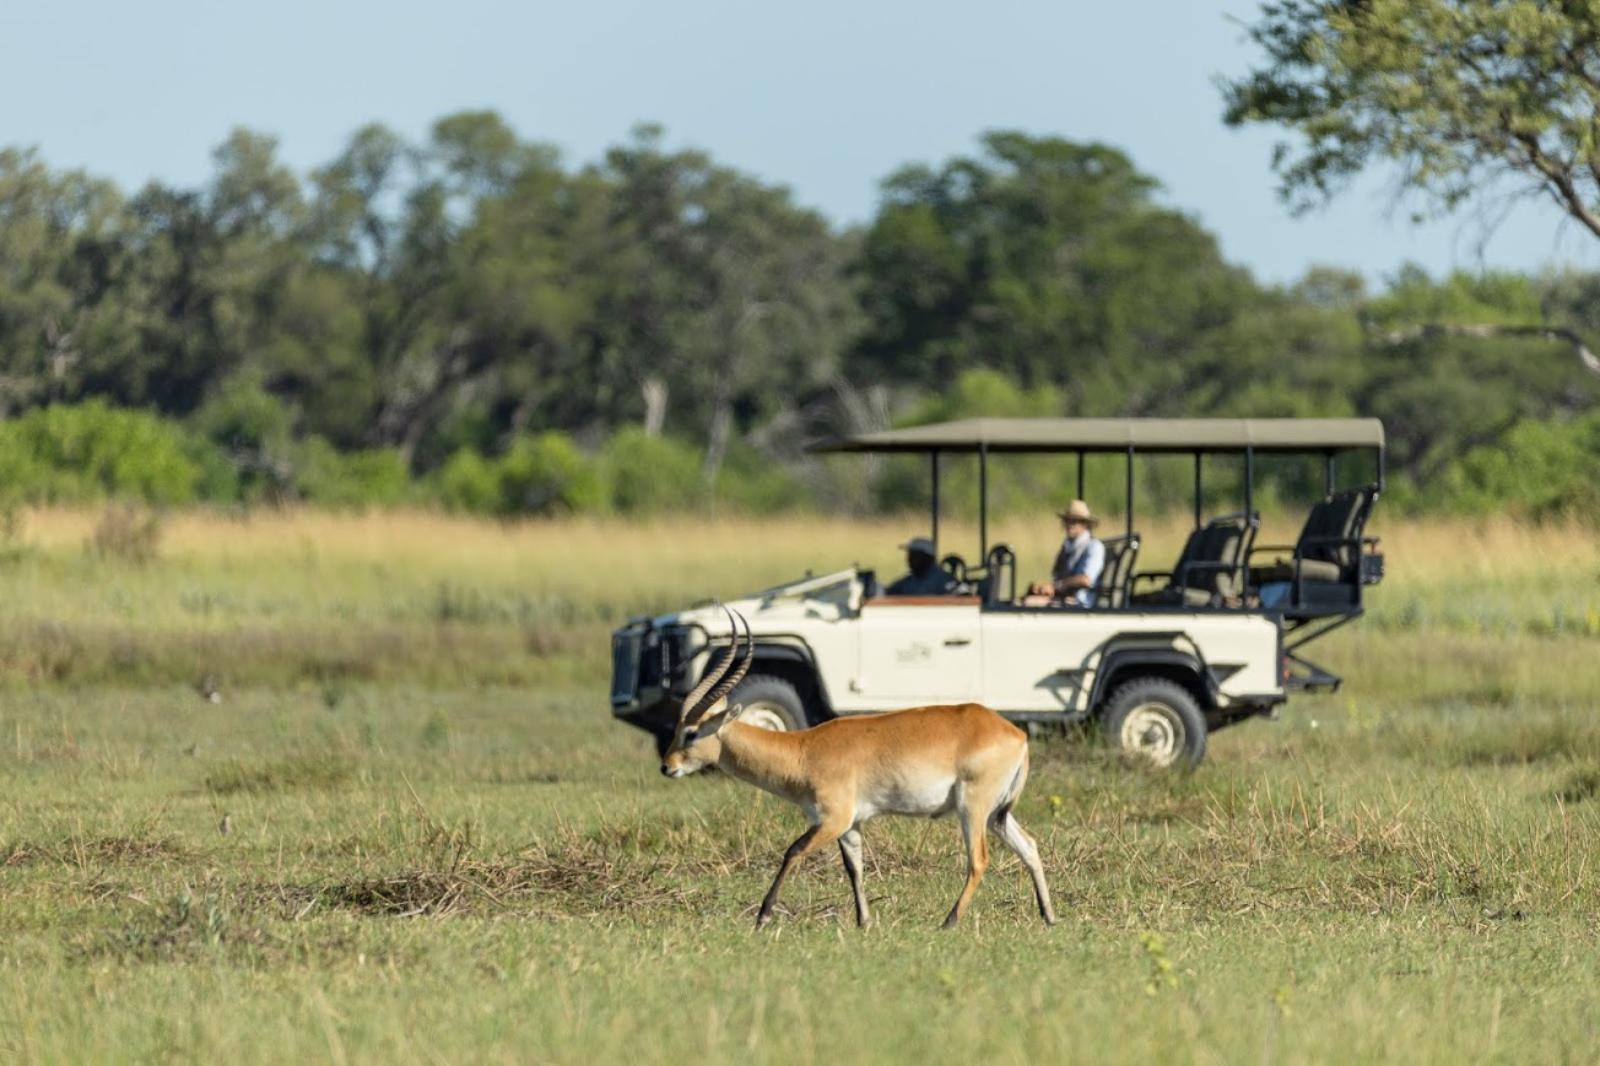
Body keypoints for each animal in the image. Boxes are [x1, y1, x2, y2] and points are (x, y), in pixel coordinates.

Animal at [656, 601, 1056, 928]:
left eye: (691, 732)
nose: (667, 766)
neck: (803, 750)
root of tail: (1014, 732)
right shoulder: (852, 825)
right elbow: (855, 869)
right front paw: (864, 922)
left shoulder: (833, 818)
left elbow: (793, 851)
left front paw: (763, 916)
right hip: (997, 814)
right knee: (1029, 846)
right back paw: (1048, 917)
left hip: (972, 809)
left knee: (979, 860)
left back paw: (949, 922)